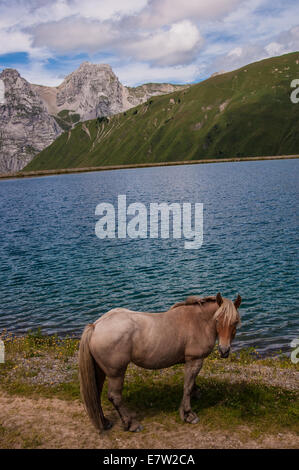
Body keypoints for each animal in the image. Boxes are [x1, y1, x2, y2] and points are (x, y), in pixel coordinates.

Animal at [79, 294, 241, 434]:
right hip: (116, 373)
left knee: (97, 392)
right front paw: (188, 414)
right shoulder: (195, 360)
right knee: (115, 397)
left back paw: (105, 422)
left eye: (235, 322)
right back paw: (131, 424)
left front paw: (196, 393)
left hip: (100, 371)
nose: (224, 351)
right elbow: (187, 387)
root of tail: (96, 326)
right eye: (218, 320)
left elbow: (191, 383)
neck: (198, 321)